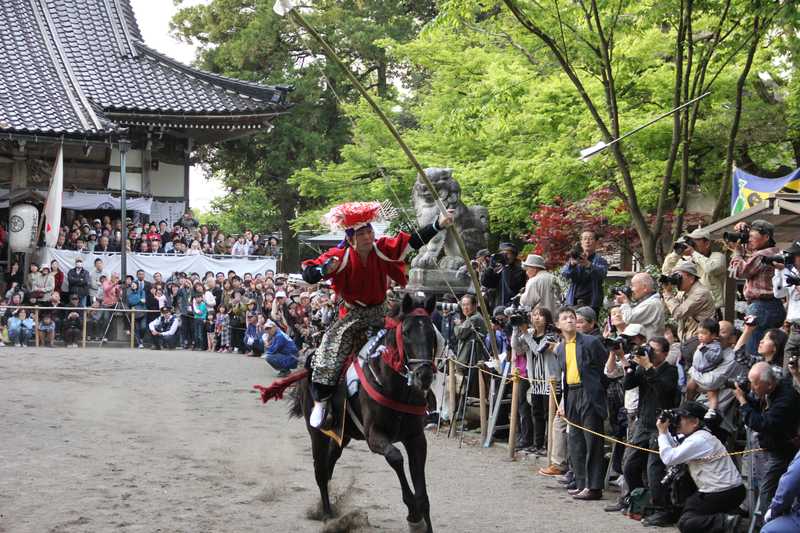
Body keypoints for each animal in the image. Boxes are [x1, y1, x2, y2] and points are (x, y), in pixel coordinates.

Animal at [260, 294, 438, 532]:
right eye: (407, 332)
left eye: (432, 333)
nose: (424, 375)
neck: (396, 387)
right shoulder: (375, 436)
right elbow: (396, 458)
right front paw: (414, 516)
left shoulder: (416, 438)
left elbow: (422, 494)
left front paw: (423, 521)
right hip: (317, 433)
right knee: (320, 470)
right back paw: (327, 514)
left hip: (342, 435)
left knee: (330, 464)